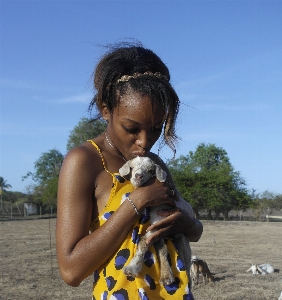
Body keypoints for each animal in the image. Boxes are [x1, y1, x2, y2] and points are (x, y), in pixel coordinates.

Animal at [119, 157, 194, 286]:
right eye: (132, 167)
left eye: (150, 170)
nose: (138, 176)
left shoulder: (160, 222)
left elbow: (143, 241)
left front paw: (131, 268)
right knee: (163, 249)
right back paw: (166, 276)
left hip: (183, 240)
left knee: (186, 259)